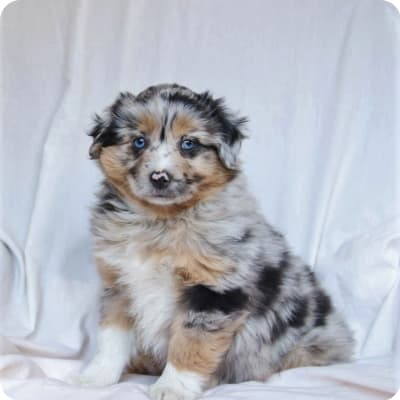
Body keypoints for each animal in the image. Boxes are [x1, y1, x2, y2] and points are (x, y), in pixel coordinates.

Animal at [75, 84, 354, 400]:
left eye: (188, 144)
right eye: (138, 141)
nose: (160, 177)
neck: (161, 221)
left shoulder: (215, 291)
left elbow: (190, 344)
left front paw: (172, 387)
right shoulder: (119, 284)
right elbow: (112, 337)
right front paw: (97, 377)